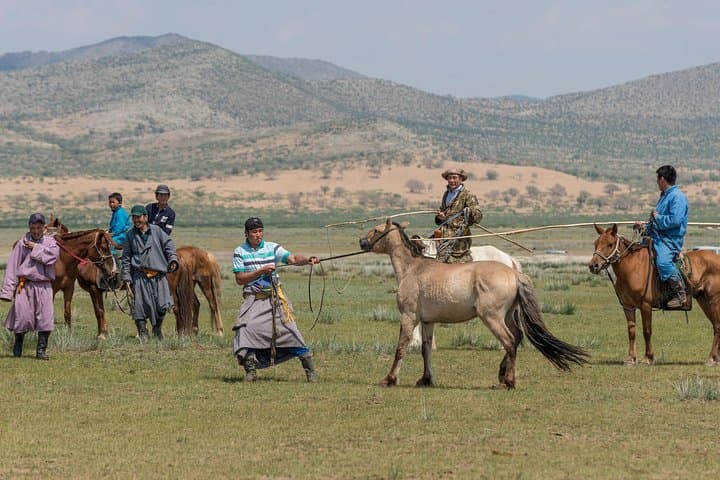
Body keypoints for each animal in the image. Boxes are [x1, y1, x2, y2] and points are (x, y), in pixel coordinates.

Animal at [360, 219, 587, 389]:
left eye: (376, 230)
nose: (362, 241)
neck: (413, 269)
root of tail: (514, 272)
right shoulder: (428, 322)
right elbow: (426, 350)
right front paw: (426, 379)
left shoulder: (409, 317)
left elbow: (401, 347)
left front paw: (389, 379)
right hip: (507, 316)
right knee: (516, 337)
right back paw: (503, 374)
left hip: (492, 317)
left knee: (509, 341)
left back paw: (508, 382)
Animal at [589, 223, 720, 365]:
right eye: (595, 243)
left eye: (610, 244)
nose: (593, 265)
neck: (633, 266)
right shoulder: (628, 307)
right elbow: (631, 331)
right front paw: (630, 358)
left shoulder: (645, 305)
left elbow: (647, 331)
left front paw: (648, 358)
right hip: (704, 301)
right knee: (715, 325)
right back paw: (715, 358)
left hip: (714, 301)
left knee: (718, 326)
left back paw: (711, 359)